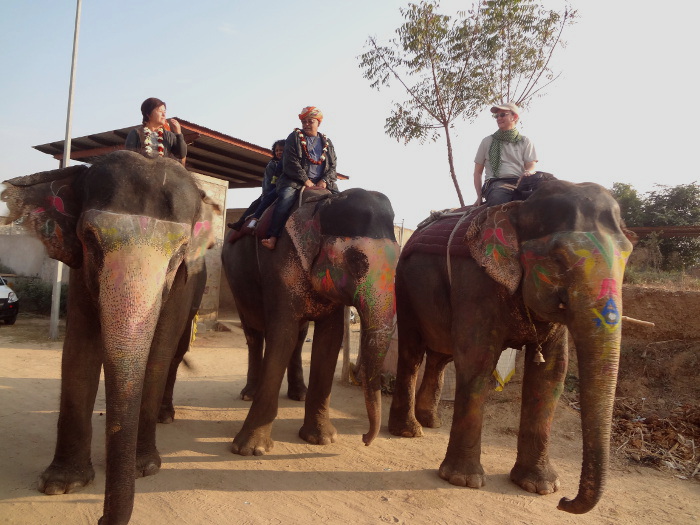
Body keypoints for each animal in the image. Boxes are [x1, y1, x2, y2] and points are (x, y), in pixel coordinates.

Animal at [0, 148, 219, 524]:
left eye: (179, 251)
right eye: (89, 238)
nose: (101, 519)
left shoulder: (181, 285)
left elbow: (158, 355)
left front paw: (144, 468)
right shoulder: (78, 271)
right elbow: (79, 350)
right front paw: (61, 484)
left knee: (175, 354)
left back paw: (165, 415)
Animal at [224, 187, 400, 454]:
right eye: (357, 260)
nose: (364, 438)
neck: (323, 205)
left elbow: (330, 340)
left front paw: (322, 439)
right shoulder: (281, 266)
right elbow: (281, 335)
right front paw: (250, 450)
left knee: (298, 337)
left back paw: (299, 394)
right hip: (236, 284)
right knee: (254, 333)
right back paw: (249, 395)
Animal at [388, 179, 636, 512]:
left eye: (626, 258)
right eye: (558, 259)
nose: (565, 501)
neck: (521, 207)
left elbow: (551, 373)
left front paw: (540, 486)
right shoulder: (476, 280)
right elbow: (478, 360)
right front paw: (463, 480)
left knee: (441, 355)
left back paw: (431, 422)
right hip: (405, 287)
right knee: (413, 352)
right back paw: (408, 431)